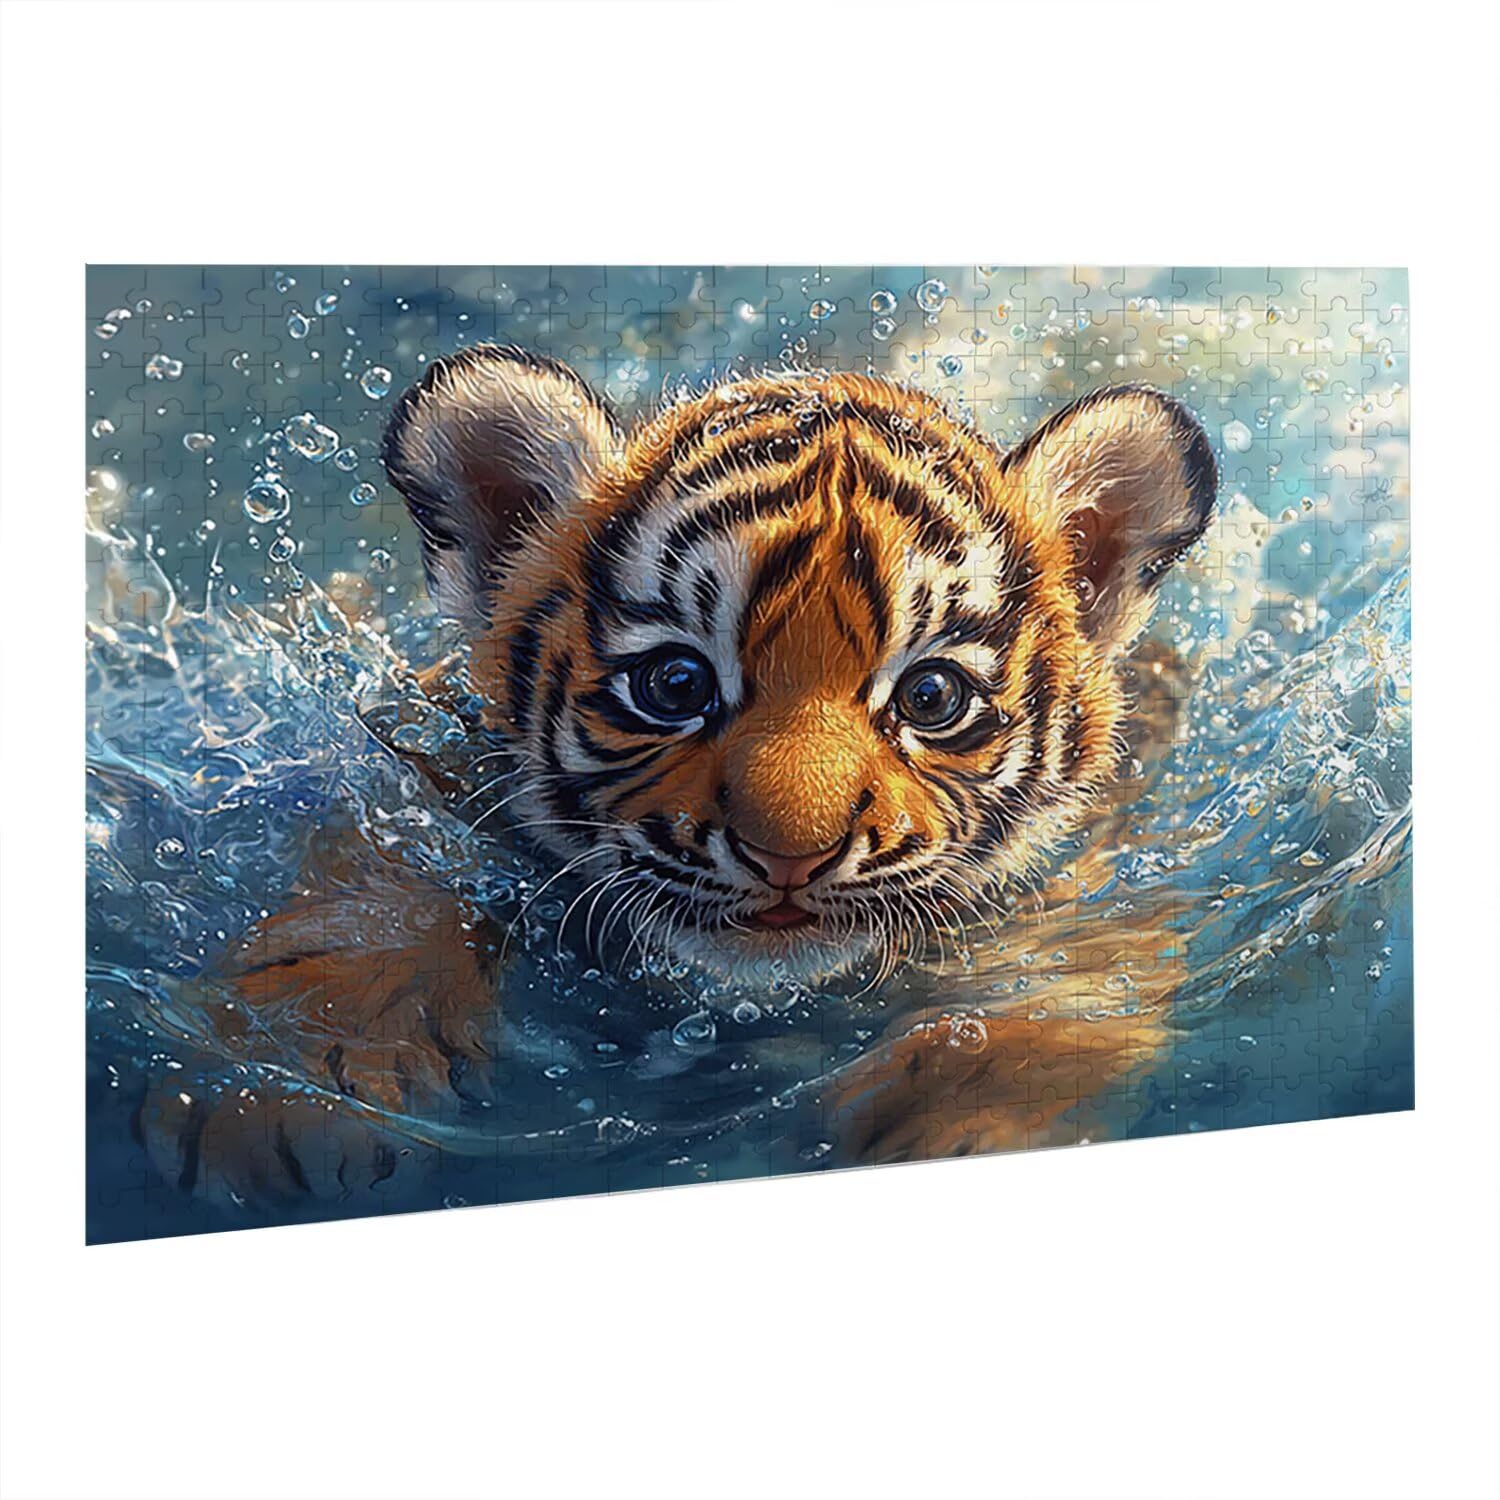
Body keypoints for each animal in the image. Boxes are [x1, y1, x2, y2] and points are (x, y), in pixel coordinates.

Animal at [143, 345, 1217, 1215]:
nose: (790, 856)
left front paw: (950, 1116)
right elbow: (373, 893)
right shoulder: (424, 757)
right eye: (674, 685)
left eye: (932, 696)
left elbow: (1064, 986)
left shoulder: (1114, 852)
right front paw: (292, 1088)